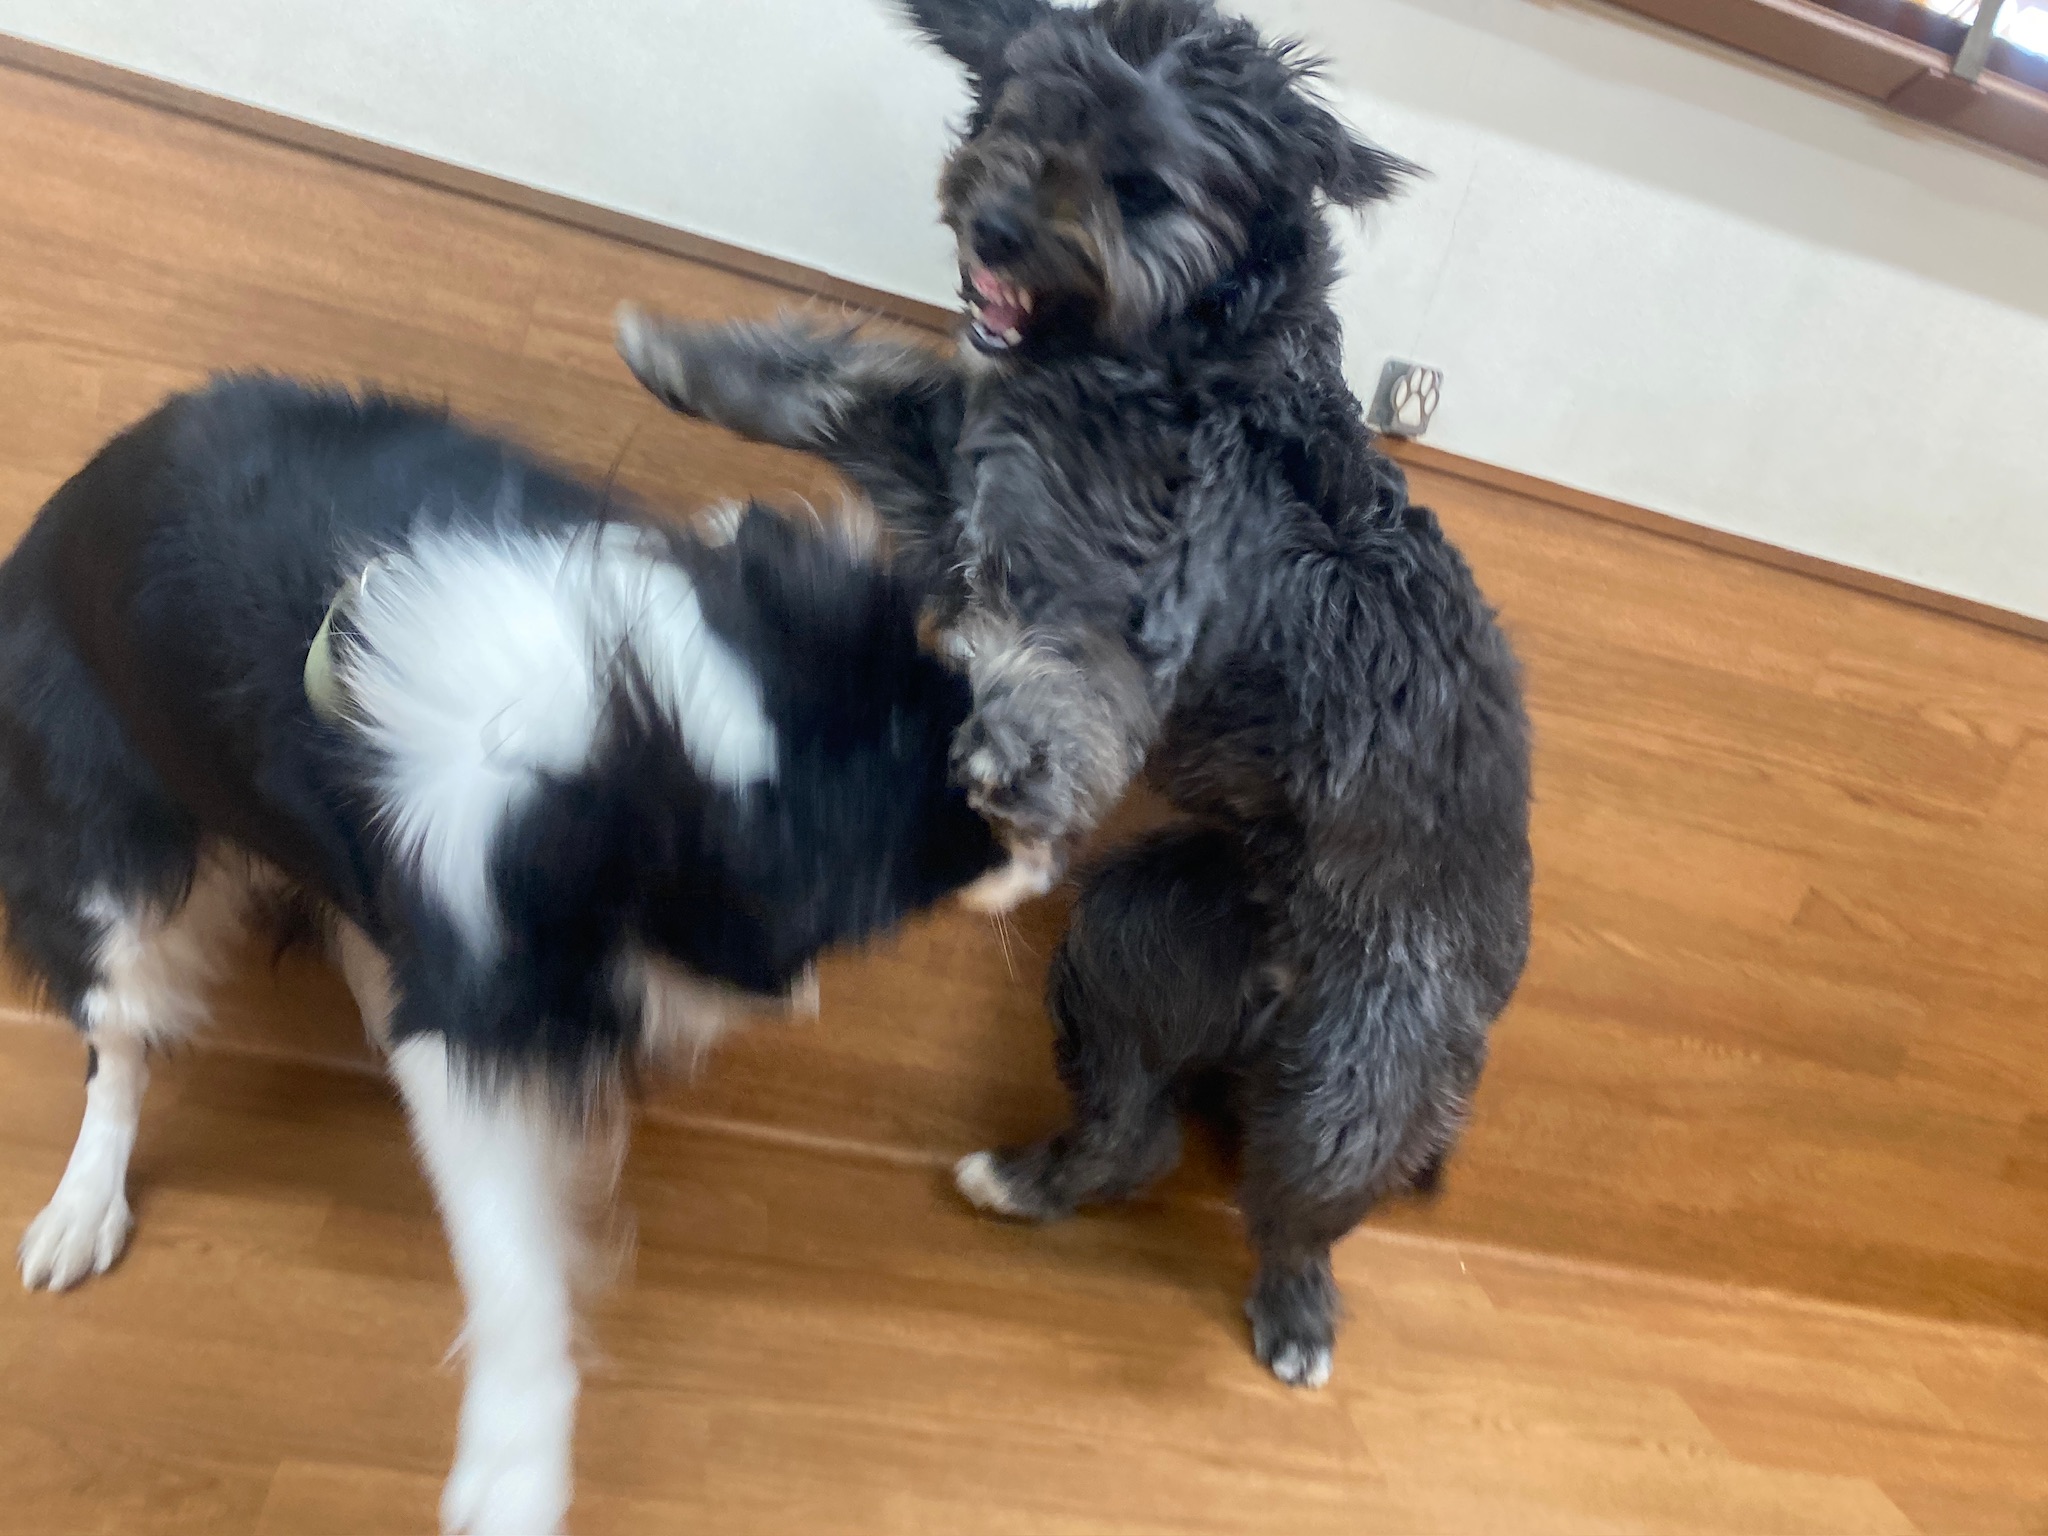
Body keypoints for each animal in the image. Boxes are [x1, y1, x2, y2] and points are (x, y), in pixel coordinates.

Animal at [0, 375, 1044, 1533]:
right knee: (116, 1040)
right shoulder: (481, 1005)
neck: (617, 740)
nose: (1044, 842)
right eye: (935, 842)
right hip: (103, 863)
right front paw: (512, 1474)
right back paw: (82, 1205)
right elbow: (512, 1260)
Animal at [614, 0, 1532, 1391]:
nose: (994, 225)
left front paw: (1012, 797)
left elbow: (1057, 697)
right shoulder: (976, 491)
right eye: (1023, 112)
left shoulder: (1106, 605)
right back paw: (1031, 1179)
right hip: (1135, 941)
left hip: (1355, 1066)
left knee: (1302, 1208)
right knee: (1135, 1135)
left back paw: (1295, 1315)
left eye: (1142, 187)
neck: (1185, 356)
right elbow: (851, 394)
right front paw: (699, 362)